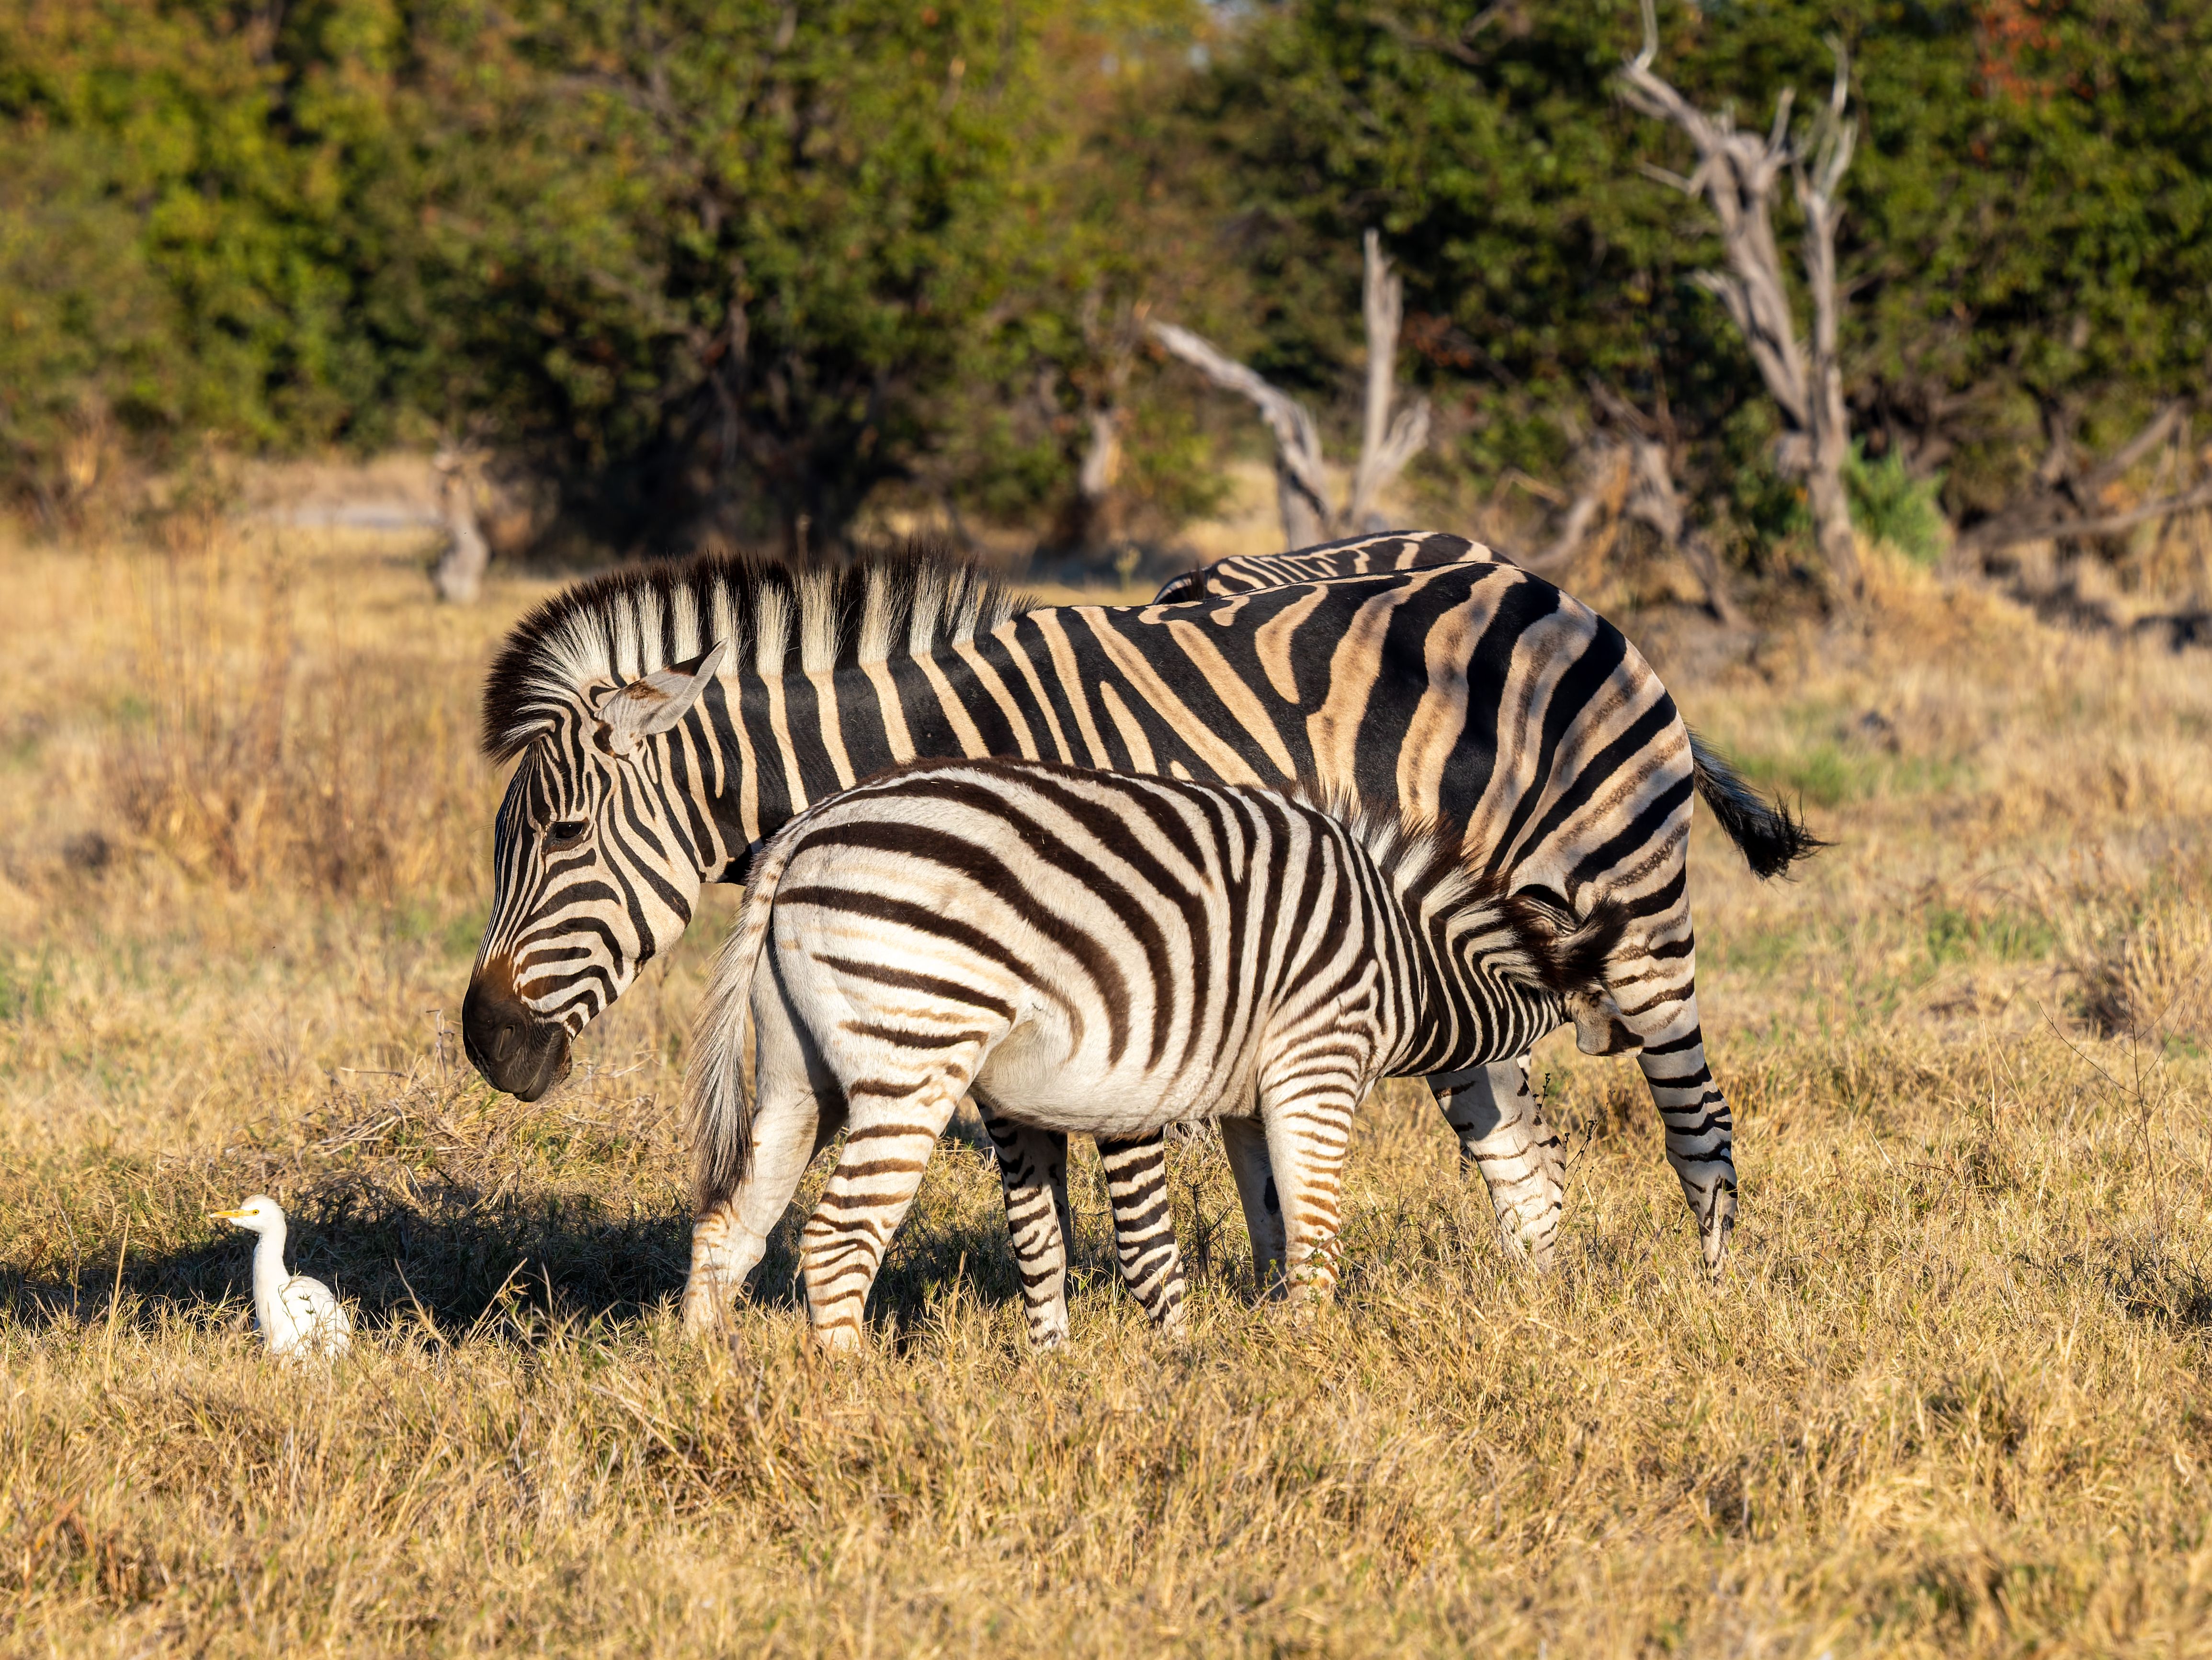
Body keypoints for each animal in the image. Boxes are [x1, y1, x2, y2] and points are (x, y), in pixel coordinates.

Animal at [681, 756, 1627, 1348]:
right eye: (1561, 1161)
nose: (1547, 1311)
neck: (1410, 963)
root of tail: (803, 831)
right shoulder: (1317, 1060)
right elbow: (1313, 1228)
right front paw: (1316, 1356)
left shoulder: (1252, 1095)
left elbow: (1271, 1221)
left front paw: (1265, 1346)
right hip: (916, 1052)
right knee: (839, 1241)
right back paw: (849, 1399)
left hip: (799, 1076)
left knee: (732, 1224)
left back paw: (705, 1375)